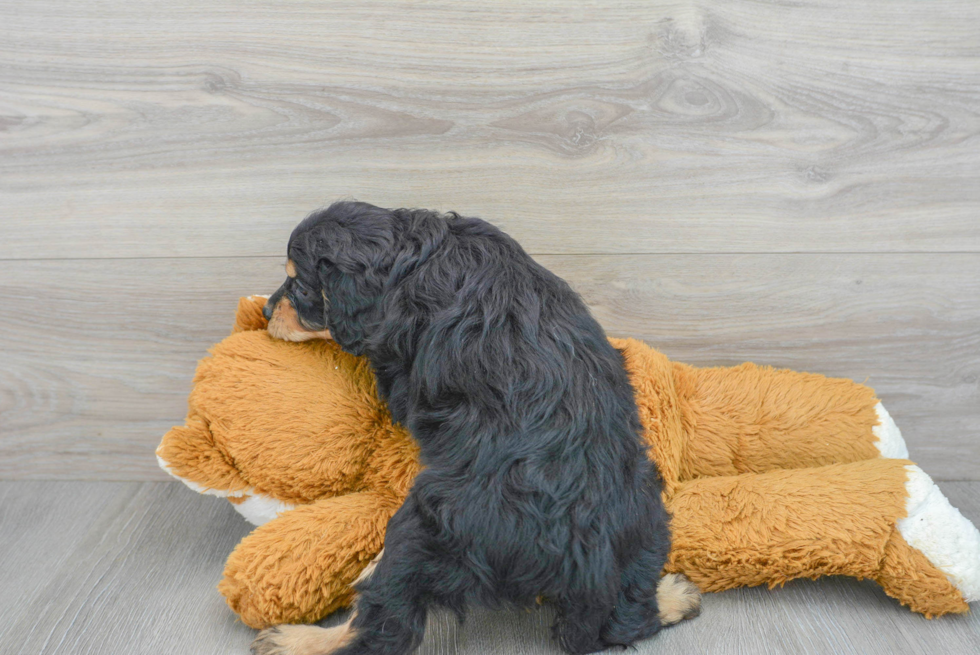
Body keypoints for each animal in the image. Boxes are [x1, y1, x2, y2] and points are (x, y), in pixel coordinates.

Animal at [253, 201, 696, 655]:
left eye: (299, 285)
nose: (265, 312)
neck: (414, 256)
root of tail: (590, 562)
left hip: (423, 528)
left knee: (380, 626)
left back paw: (298, 639)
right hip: (649, 515)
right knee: (628, 619)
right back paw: (674, 596)